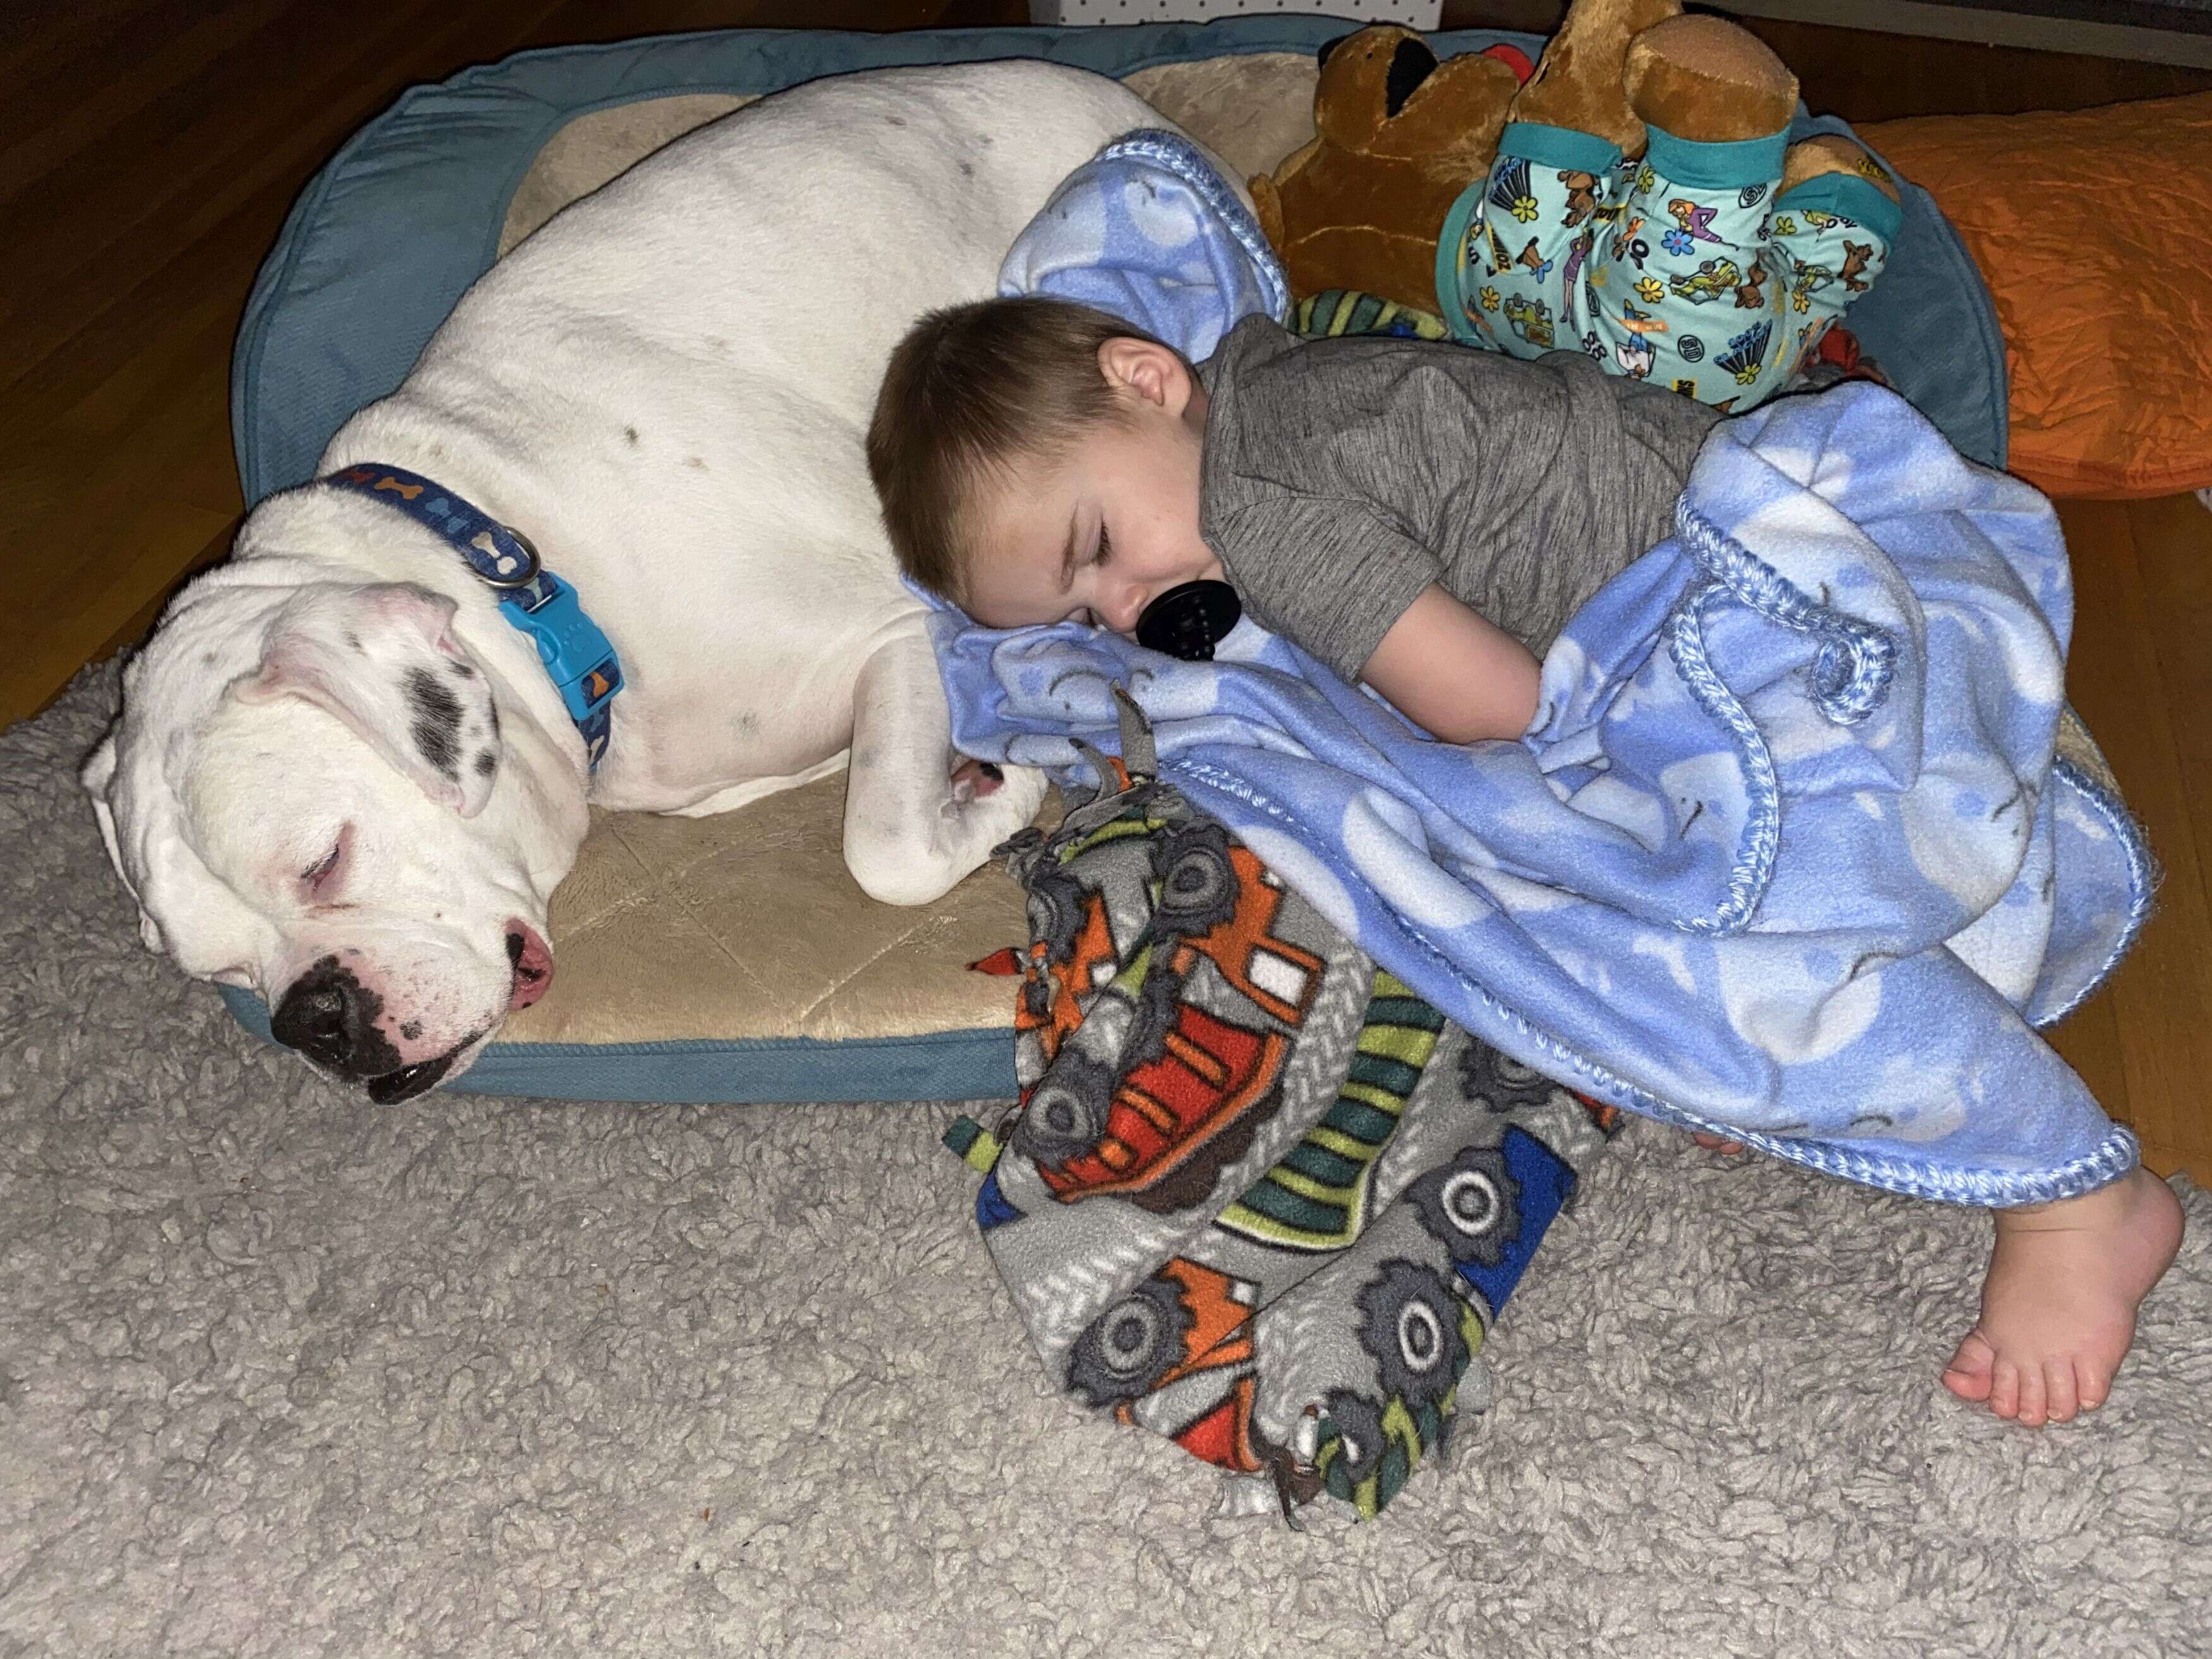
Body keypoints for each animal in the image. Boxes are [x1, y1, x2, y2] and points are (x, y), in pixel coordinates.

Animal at [84, 64, 1186, 1106]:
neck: (523, 573)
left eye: (325, 860)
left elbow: (886, 849)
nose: (314, 1019)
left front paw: (1010, 788)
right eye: (226, 969)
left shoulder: (897, 633)